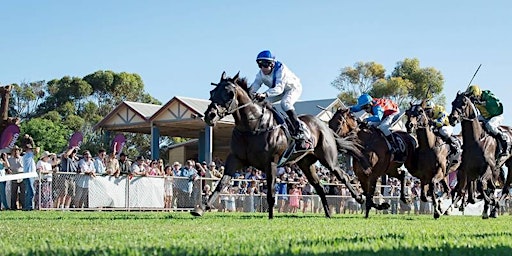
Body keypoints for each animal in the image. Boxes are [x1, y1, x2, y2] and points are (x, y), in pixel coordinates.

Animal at [190, 72, 366, 218]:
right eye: (212, 92)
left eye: (229, 94)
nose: (210, 115)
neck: (252, 127)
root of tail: (324, 126)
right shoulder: (235, 159)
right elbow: (221, 184)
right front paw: (200, 208)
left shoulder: (272, 163)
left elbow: (271, 192)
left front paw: (270, 217)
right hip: (306, 164)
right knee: (319, 187)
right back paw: (329, 213)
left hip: (328, 160)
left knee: (343, 176)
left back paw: (360, 198)